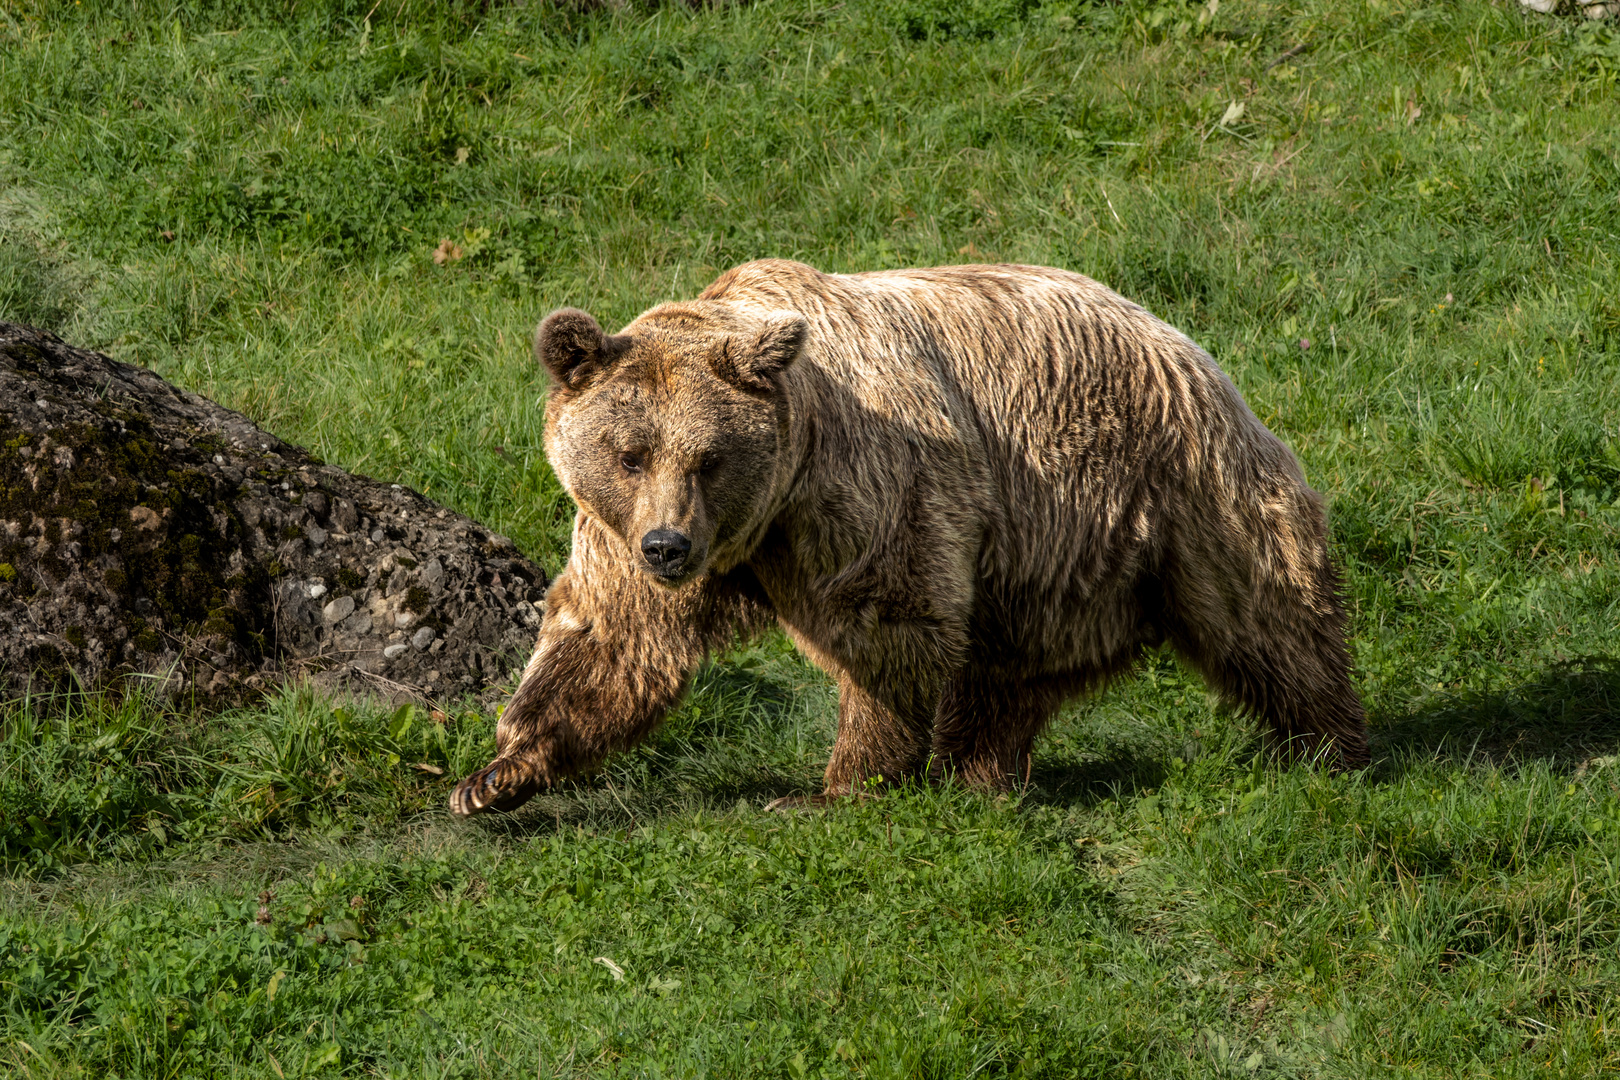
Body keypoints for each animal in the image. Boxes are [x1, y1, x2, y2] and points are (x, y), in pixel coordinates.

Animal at [447, 263, 1367, 819]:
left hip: (1162, 485)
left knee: (1267, 616)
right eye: (630, 453)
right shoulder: (625, 533)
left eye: (710, 458)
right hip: (1051, 547)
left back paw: (1331, 744)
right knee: (1008, 669)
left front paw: (844, 784)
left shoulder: (867, 488)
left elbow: (889, 626)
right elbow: (613, 638)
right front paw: (497, 775)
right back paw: (981, 772)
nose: (668, 547)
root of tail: (1183, 339)